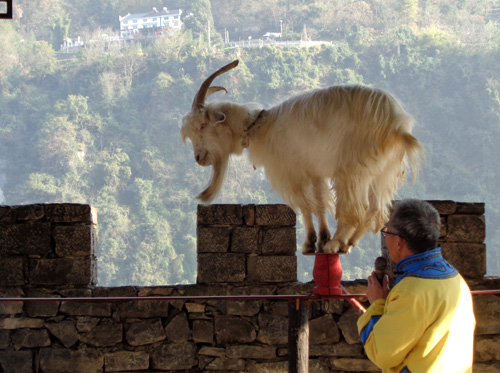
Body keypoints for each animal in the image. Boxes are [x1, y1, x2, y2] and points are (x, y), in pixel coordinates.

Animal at [182, 60, 424, 253]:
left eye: (202, 125)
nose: (198, 158)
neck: (258, 127)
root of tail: (396, 125)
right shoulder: (314, 171)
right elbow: (319, 203)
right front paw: (321, 237)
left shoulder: (293, 172)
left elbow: (306, 206)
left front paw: (310, 243)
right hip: (384, 171)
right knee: (376, 208)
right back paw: (347, 243)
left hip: (353, 168)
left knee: (358, 208)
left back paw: (335, 245)